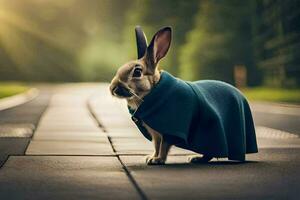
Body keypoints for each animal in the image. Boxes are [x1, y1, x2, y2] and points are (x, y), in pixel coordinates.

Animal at [109, 25, 258, 165]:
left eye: (137, 72)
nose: (112, 88)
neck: (153, 91)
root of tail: (241, 97)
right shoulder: (156, 134)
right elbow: (156, 146)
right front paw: (151, 158)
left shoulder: (170, 130)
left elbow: (163, 146)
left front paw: (158, 160)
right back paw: (196, 158)